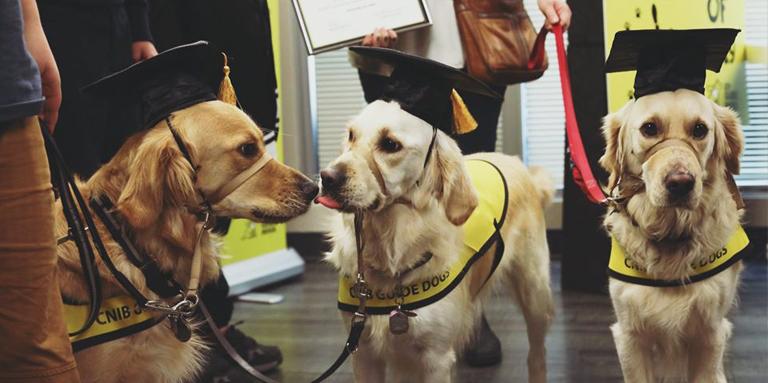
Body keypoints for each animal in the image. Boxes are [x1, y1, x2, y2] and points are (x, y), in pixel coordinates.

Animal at [320, 100, 556, 382]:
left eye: (390, 144)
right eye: (351, 135)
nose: (327, 177)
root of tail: (516, 163)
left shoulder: (436, 357)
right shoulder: (363, 351)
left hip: (534, 292)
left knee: (537, 354)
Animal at [600, 88, 744, 382]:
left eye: (700, 129)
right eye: (649, 128)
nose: (680, 183)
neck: (671, 231)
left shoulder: (710, 334)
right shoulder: (630, 335)